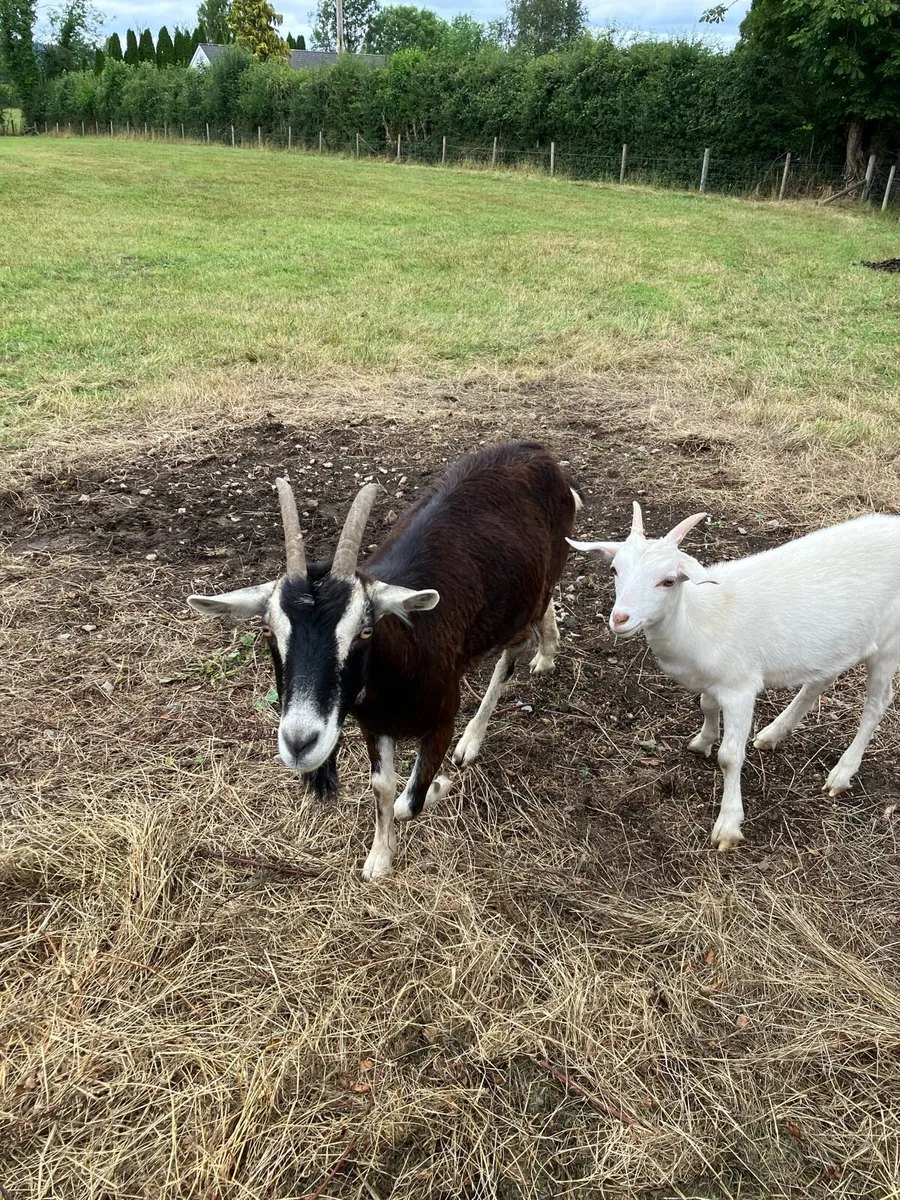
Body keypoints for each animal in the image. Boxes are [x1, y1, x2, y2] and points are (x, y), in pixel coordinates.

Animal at [188, 442, 581, 879]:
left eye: (365, 631)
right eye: (268, 631)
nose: (299, 742)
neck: (403, 663)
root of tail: (539, 454)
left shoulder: (442, 719)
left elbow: (409, 802)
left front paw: (440, 785)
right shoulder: (374, 725)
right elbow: (383, 788)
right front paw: (379, 857)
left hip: (530, 594)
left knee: (511, 654)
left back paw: (475, 736)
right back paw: (547, 651)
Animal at [569, 503, 900, 850]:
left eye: (669, 580)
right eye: (614, 570)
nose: (620, 619)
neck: (698, 618)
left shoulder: (739, 687)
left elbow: (729, 756)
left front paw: (728, 825)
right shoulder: (713, 679)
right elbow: (706, 705)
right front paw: (703, 741)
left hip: (888, 643)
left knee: (877, 703)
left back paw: (842, 772)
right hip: (836, 641)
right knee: (820, 680)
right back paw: (772, 733)